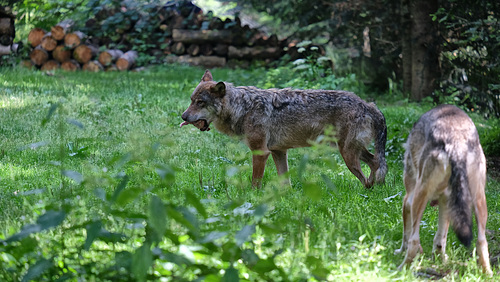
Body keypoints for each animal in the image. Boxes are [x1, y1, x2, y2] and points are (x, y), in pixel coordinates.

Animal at [180, 69, 386, 188]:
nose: (182, 117)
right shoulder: (278, 151)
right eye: (191, 100)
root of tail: (367, 104)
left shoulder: (261, 152)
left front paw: (253, 198)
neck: (243, 107)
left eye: (200, 103)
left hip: (347, 154)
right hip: (352, 151)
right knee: (375, 162)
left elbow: (255, 181)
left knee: (369, 173)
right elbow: (285, 181)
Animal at [394, 104, 492, 276]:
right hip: (479, 201)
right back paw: (488, 274)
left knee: (414, 240)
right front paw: (440, 260)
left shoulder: (408, 199)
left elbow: (407, 234)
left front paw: (401, 251)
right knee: (481, 242)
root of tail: (456, 140)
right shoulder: (446, 202)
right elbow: (440, 241)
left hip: (419, 196)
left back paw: (401, 269)